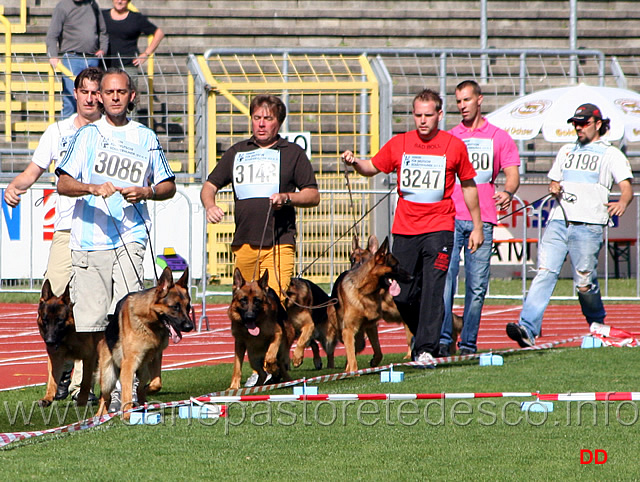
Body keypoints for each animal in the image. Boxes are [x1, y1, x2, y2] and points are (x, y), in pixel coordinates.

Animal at [37, 278, 102, 406]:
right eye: (45, 320)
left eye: (60, 321)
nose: (49, 342)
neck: (70, 334)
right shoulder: (55, 356)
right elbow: (52, 380)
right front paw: (48, 398)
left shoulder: (89, 358)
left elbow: (85, 381)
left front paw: (82, 400)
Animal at [95, 266, 192, 416]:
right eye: (175, 307)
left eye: (188, 307)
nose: (189, 327)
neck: (148, 323)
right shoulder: (129, 363)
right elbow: (127, 393)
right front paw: (127, 415)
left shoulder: (156, 357)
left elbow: (156, 384)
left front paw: (145, 393)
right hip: (108, 377)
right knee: (105, 397)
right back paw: (99, 416)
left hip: (143, 370)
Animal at [332, 235, 412, 370]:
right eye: (352, 260)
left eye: (364, 260)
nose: (412, 277)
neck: (366, 293)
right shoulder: (349, 330)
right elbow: (352, 357)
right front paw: (353, 371)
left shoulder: (372, 325)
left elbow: (379, 351)